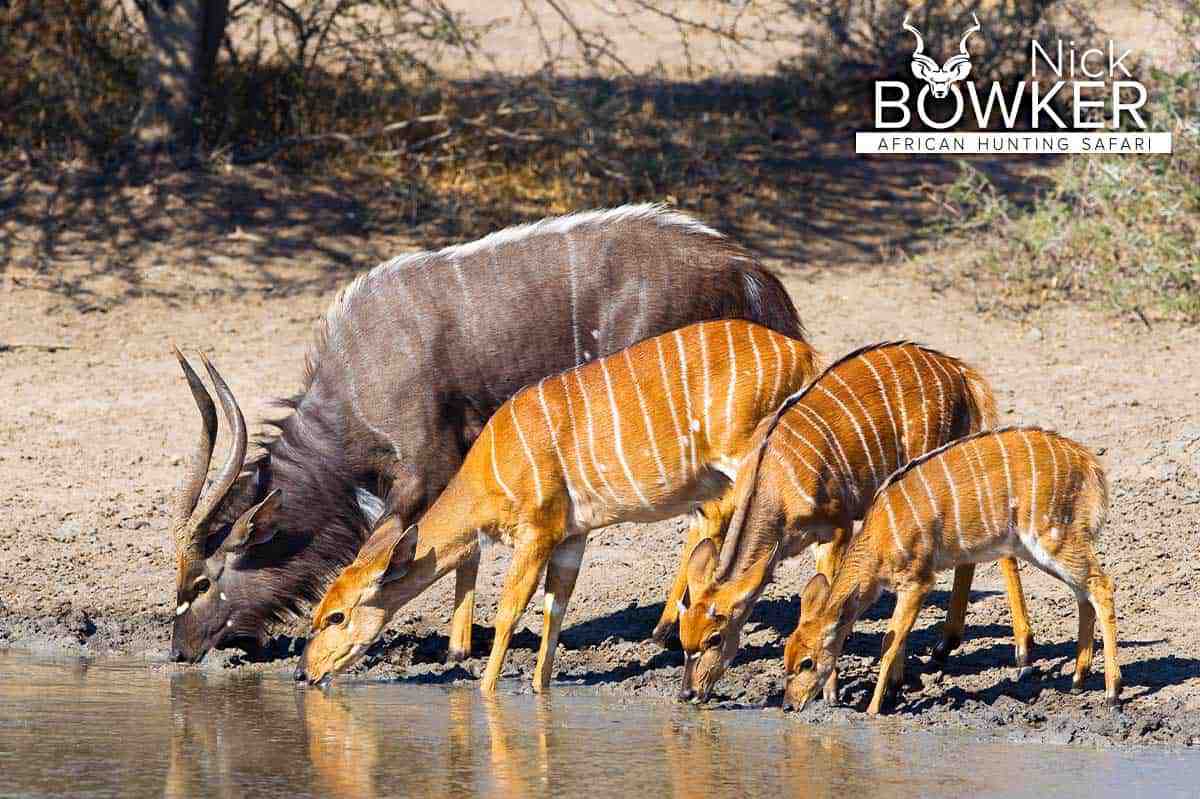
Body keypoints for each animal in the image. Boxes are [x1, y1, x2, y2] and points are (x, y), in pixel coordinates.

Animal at [164, 203, 801, 657]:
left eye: (200, 582)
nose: (178, 652)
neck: (356, 376)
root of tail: (747, 271)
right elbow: (463, 546)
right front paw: (458, 646)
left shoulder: (422, 469)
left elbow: (393, 550)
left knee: (709, 508)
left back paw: (666, 629)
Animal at [295, 321, 820, 686]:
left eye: (336, 616)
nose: (303, 672)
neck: (490, 467)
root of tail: (805, 355)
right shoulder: (573, 536)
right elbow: (555, 609)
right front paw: (538, 689)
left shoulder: (538, 531)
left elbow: (509, 611)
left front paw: (486, 692)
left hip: (752, 462)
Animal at [676, 338, 1032, 700]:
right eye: (683, 640)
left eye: (714, 638)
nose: (687, 694)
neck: (772, 479)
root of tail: (959, 371)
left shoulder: (837, 527)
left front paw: (831, 692)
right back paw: (944, 646)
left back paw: (1022, 654)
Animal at [782, 427, 1118, 710]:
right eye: (787, 659)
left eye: (807, 663)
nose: (788, 705)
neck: (879, 538)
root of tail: (1089, 463)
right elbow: (898, 640)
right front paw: (893, 693)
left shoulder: (918, 580)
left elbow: (889, 642)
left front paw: (874, 708)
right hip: (1043, 547)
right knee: (1083, 593)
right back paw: (1077, 680)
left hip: (1052, 538)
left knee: (1101, 585)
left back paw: (1112, 693)